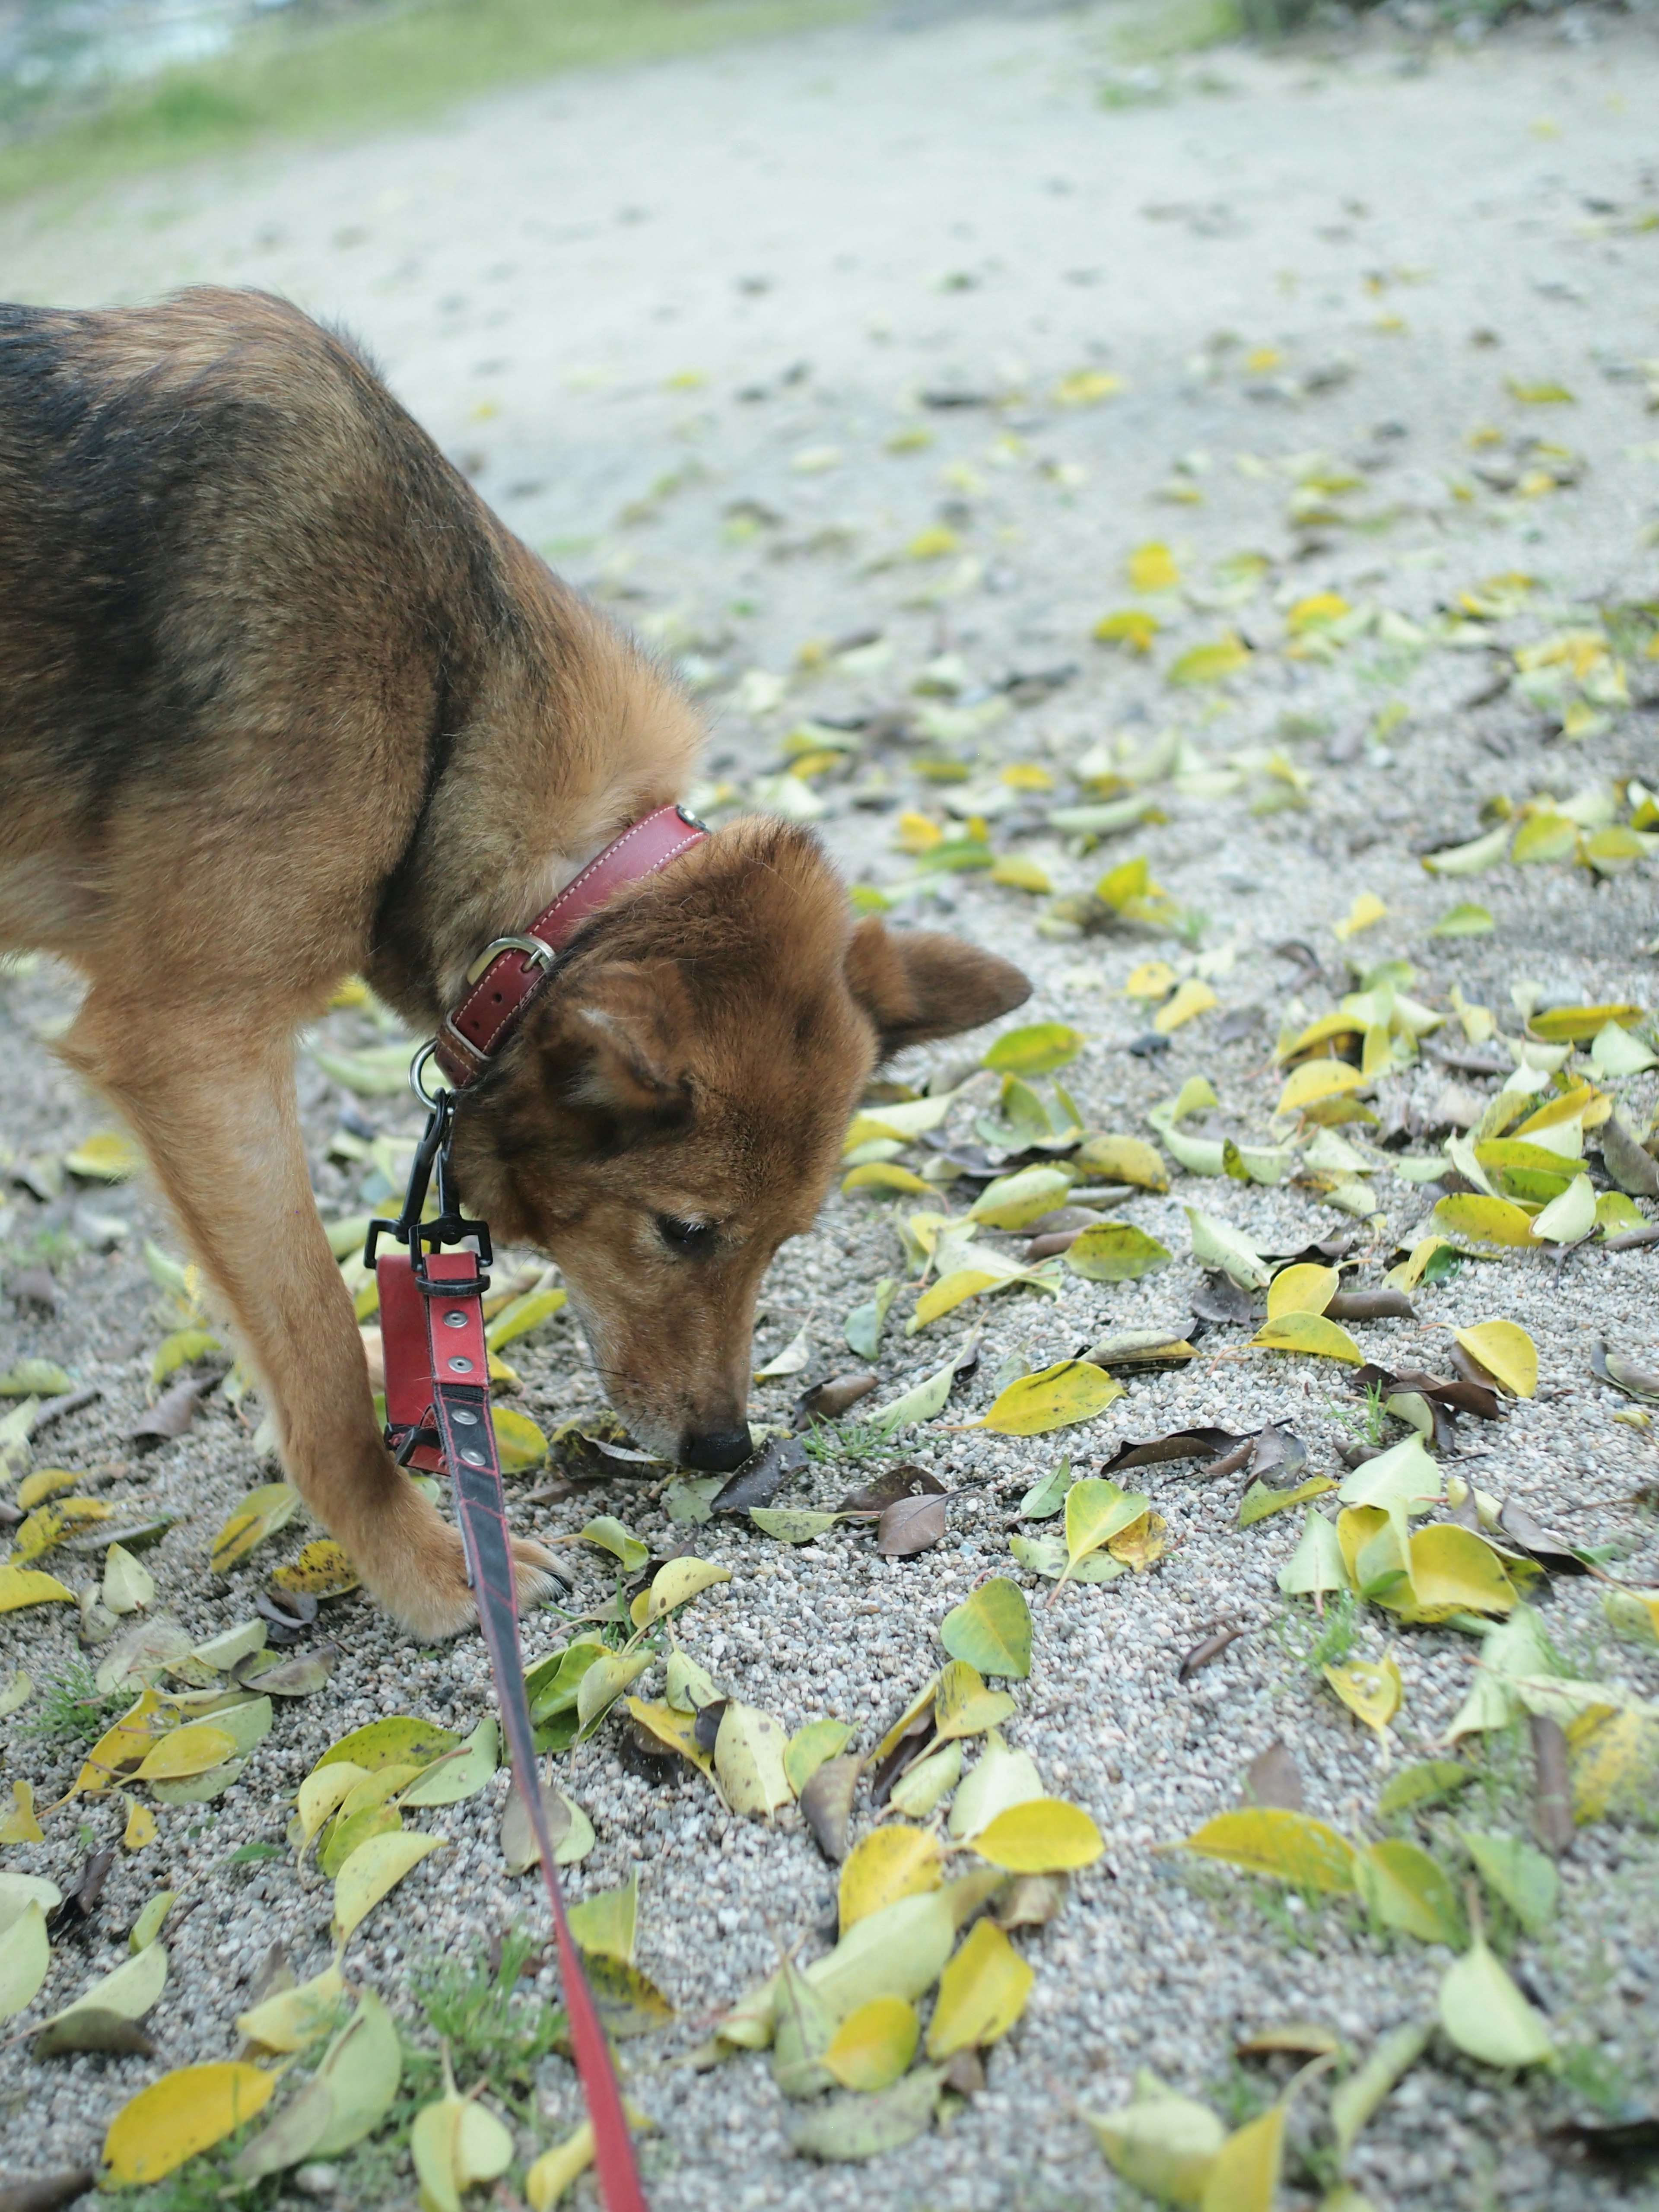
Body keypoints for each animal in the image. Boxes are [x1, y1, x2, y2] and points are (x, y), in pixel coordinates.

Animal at [0, 285, 1035, 1637]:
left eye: (789, 1239)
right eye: (685, 1231)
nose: (725, 1448)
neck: (443, 685)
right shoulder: (192, 1051)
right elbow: (320, 1355)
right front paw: (430, 1566)